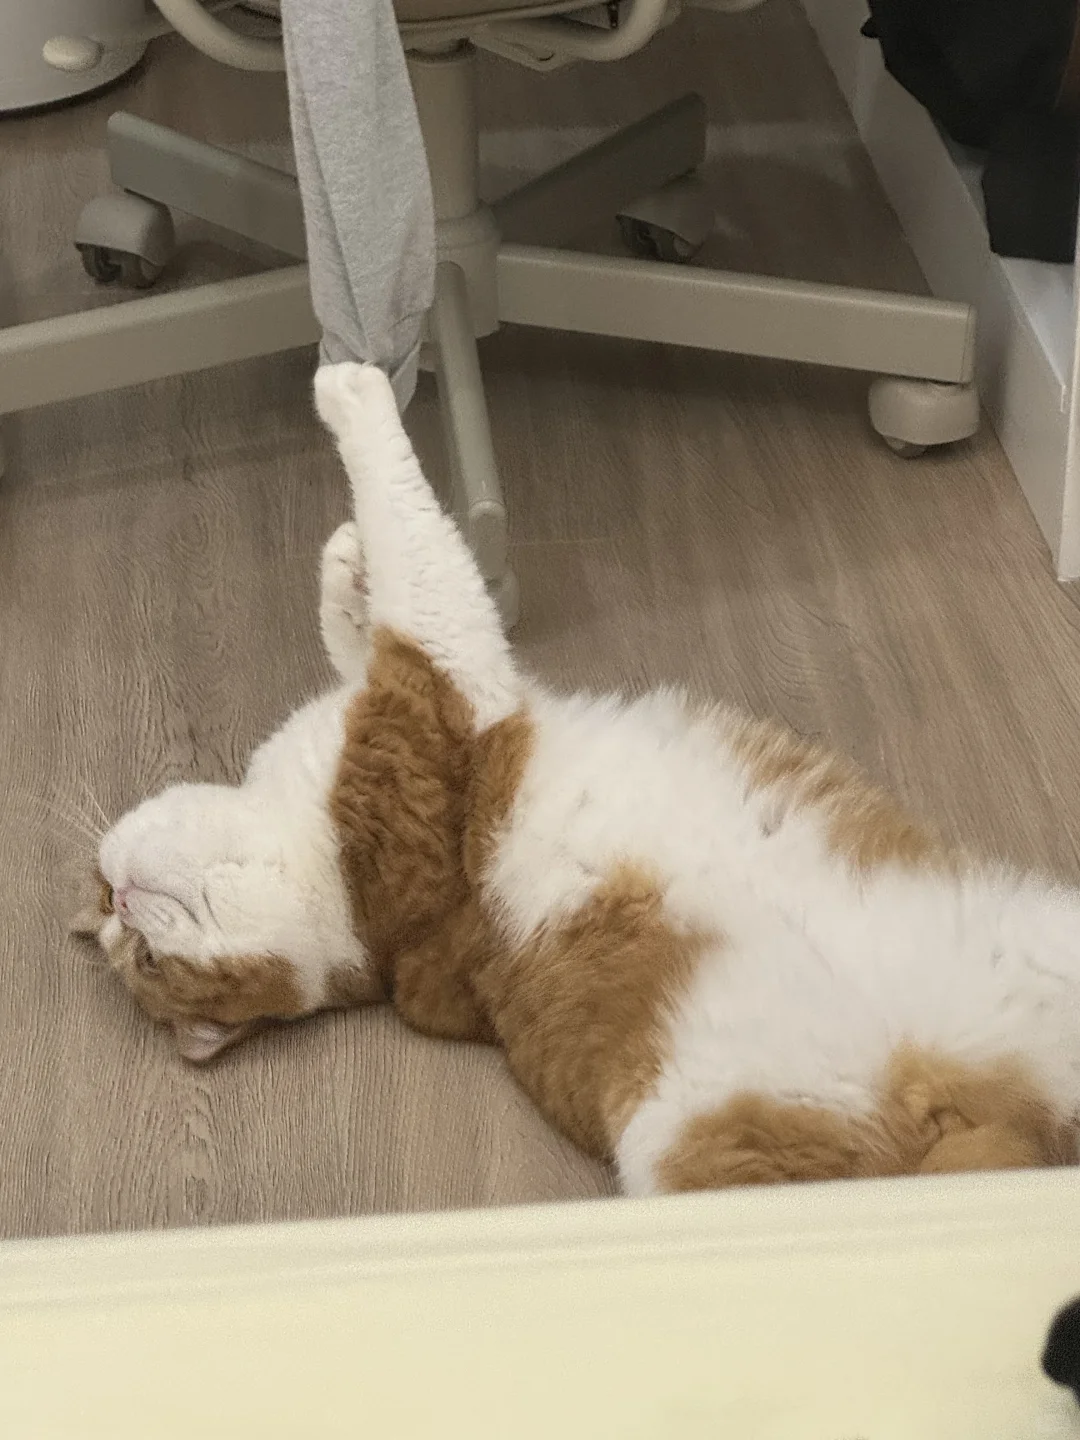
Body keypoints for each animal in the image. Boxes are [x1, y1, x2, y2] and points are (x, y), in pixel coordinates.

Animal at [73, 361, 1080, 1193]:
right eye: (150, 962)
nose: (119, 909)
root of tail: (974, 1115)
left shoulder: (414, 690)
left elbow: (358, 620)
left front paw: (344, 558)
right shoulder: (442, 686)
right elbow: (414, 532)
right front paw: (350, 383)